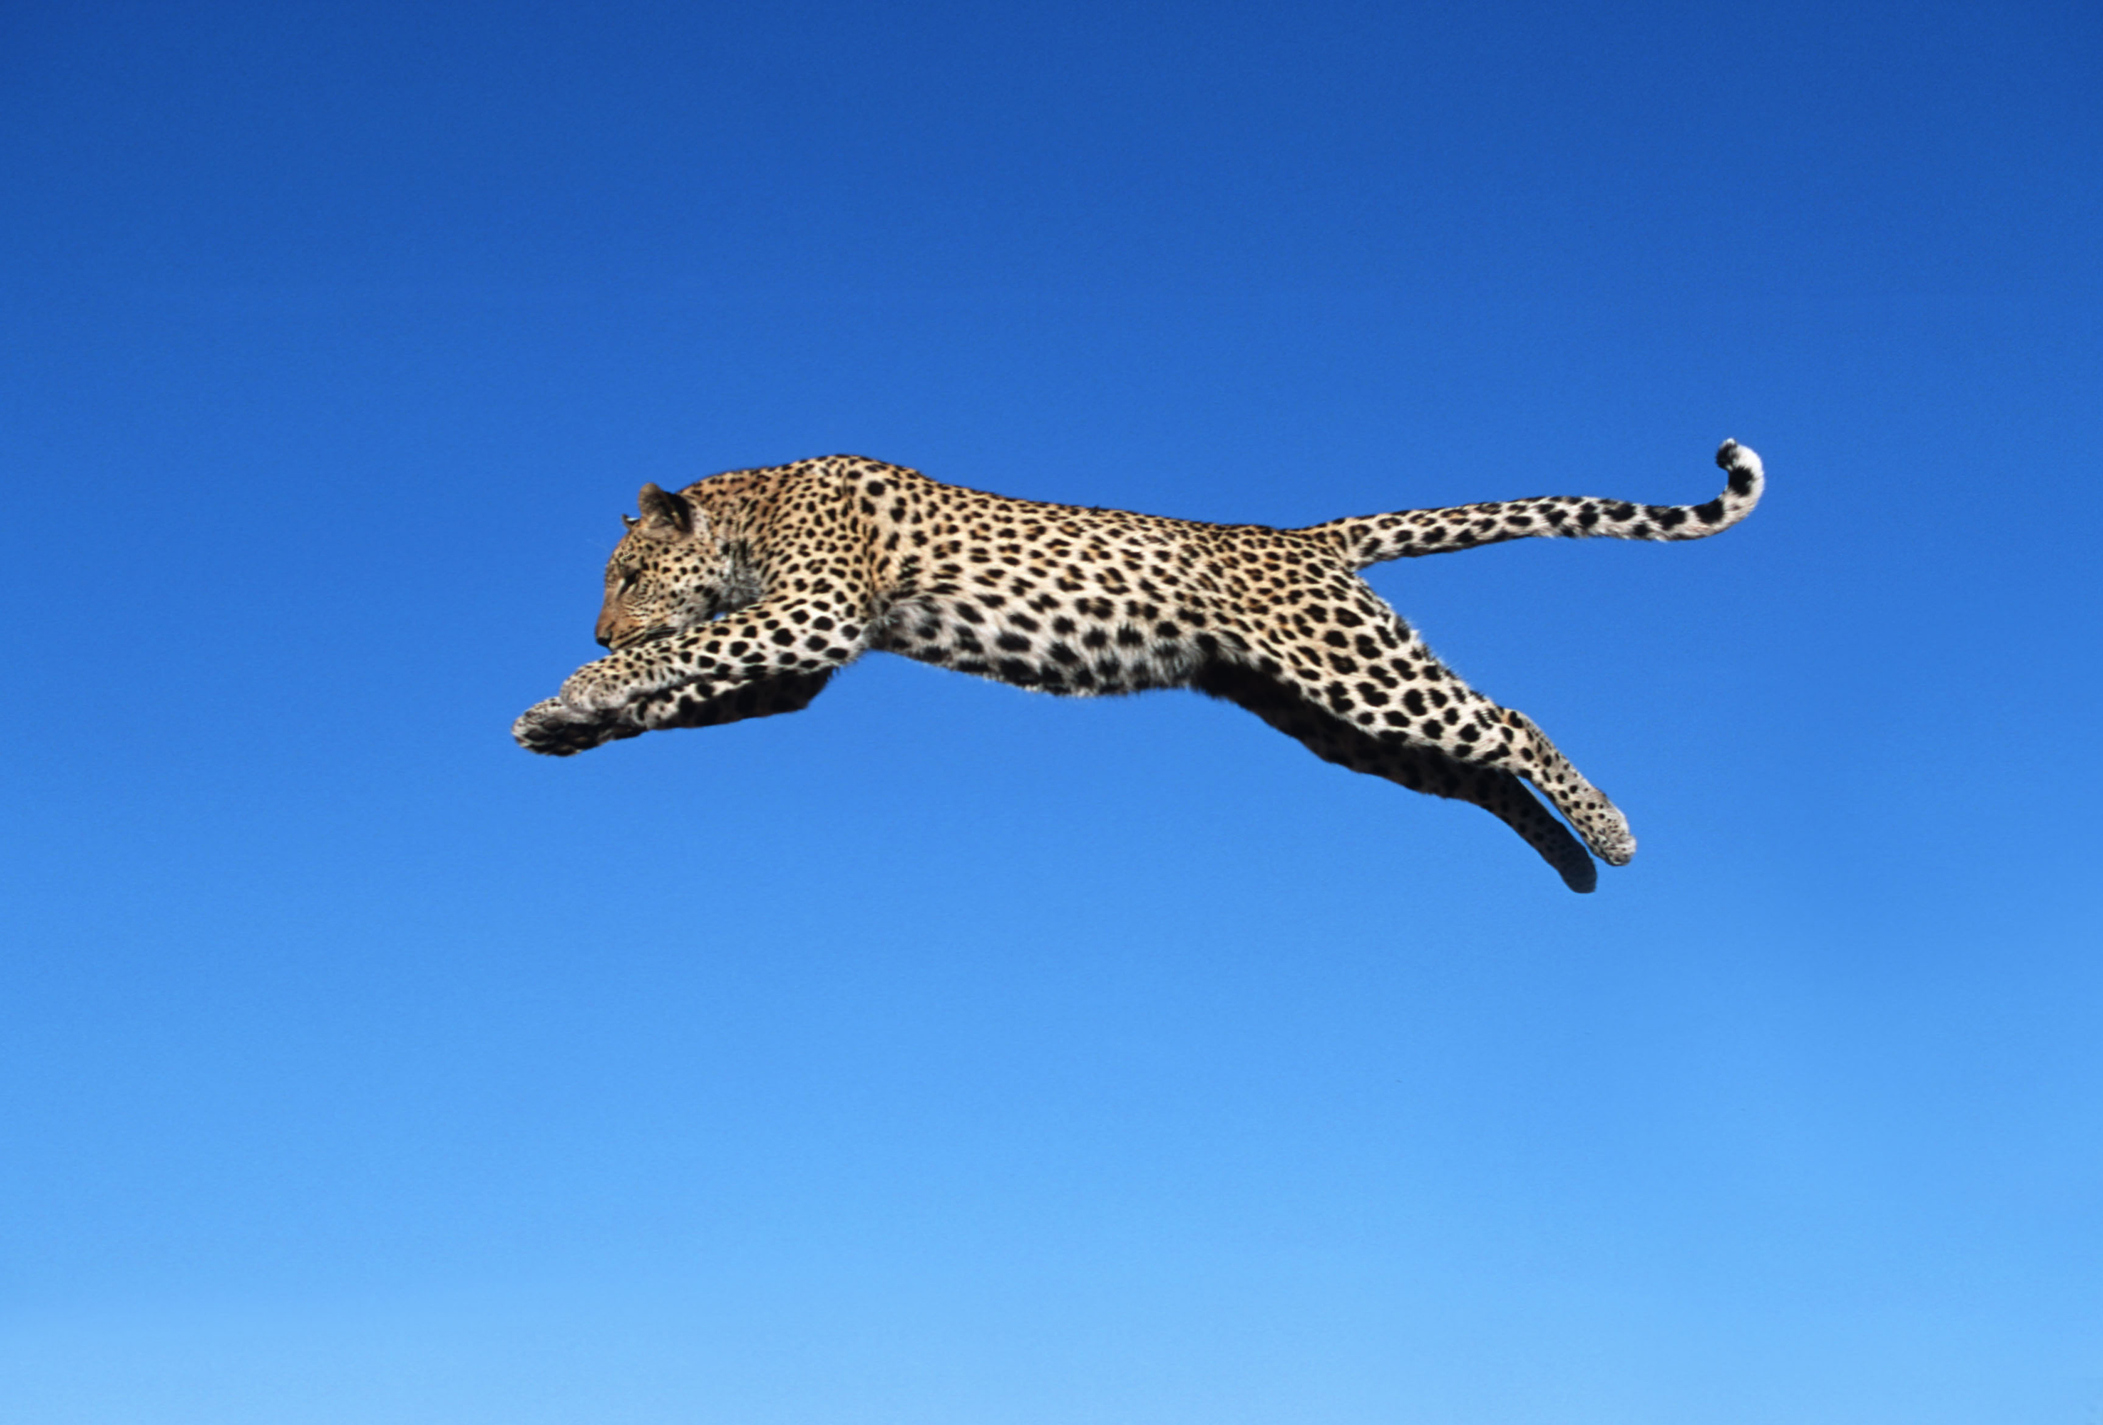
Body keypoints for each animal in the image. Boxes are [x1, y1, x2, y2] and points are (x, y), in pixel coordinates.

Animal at [514, 439, 1764, 892]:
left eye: (628, 572)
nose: (601, 633)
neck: (752, 508)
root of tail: (1300, 538)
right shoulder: (799, 656)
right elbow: (695, 686)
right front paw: (574, 719)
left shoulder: (815, 611)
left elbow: (695, 646)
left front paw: (579, 689)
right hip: (1333, 722)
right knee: (1477, 772)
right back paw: (1572, 864)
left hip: (1355, 671)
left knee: (1505, 720)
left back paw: (1608, 832)